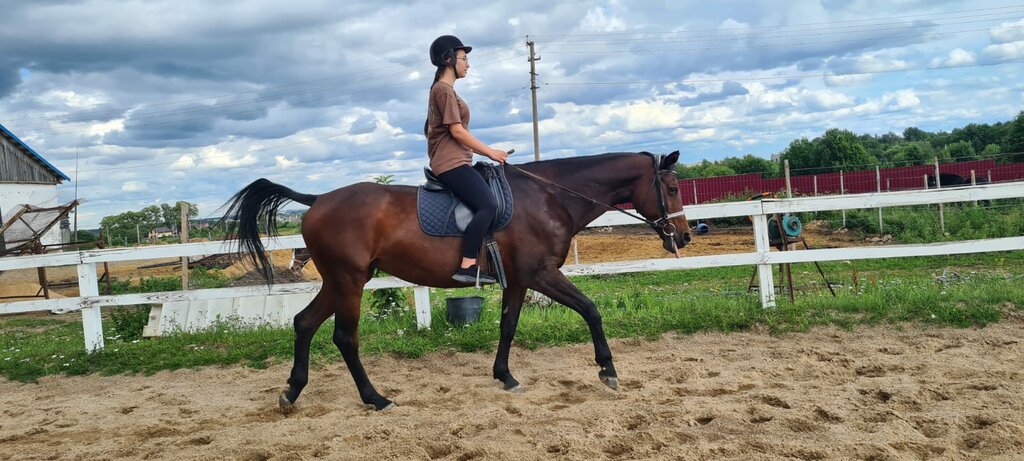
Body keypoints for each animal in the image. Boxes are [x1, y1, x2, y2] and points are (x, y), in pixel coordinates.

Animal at [220, 151, 692, 409]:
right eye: (670, 187)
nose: (686, 235)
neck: (548, 197)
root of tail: (317, 200)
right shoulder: (542, 274)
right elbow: (591, 309)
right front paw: (607, 370)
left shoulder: (519, 280)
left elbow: (508, 326)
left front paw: (505, 377)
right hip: (349, 282)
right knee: (344, 338)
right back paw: (375, 398)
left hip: (340, 281)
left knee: (303, 322)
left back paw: (292, 392)